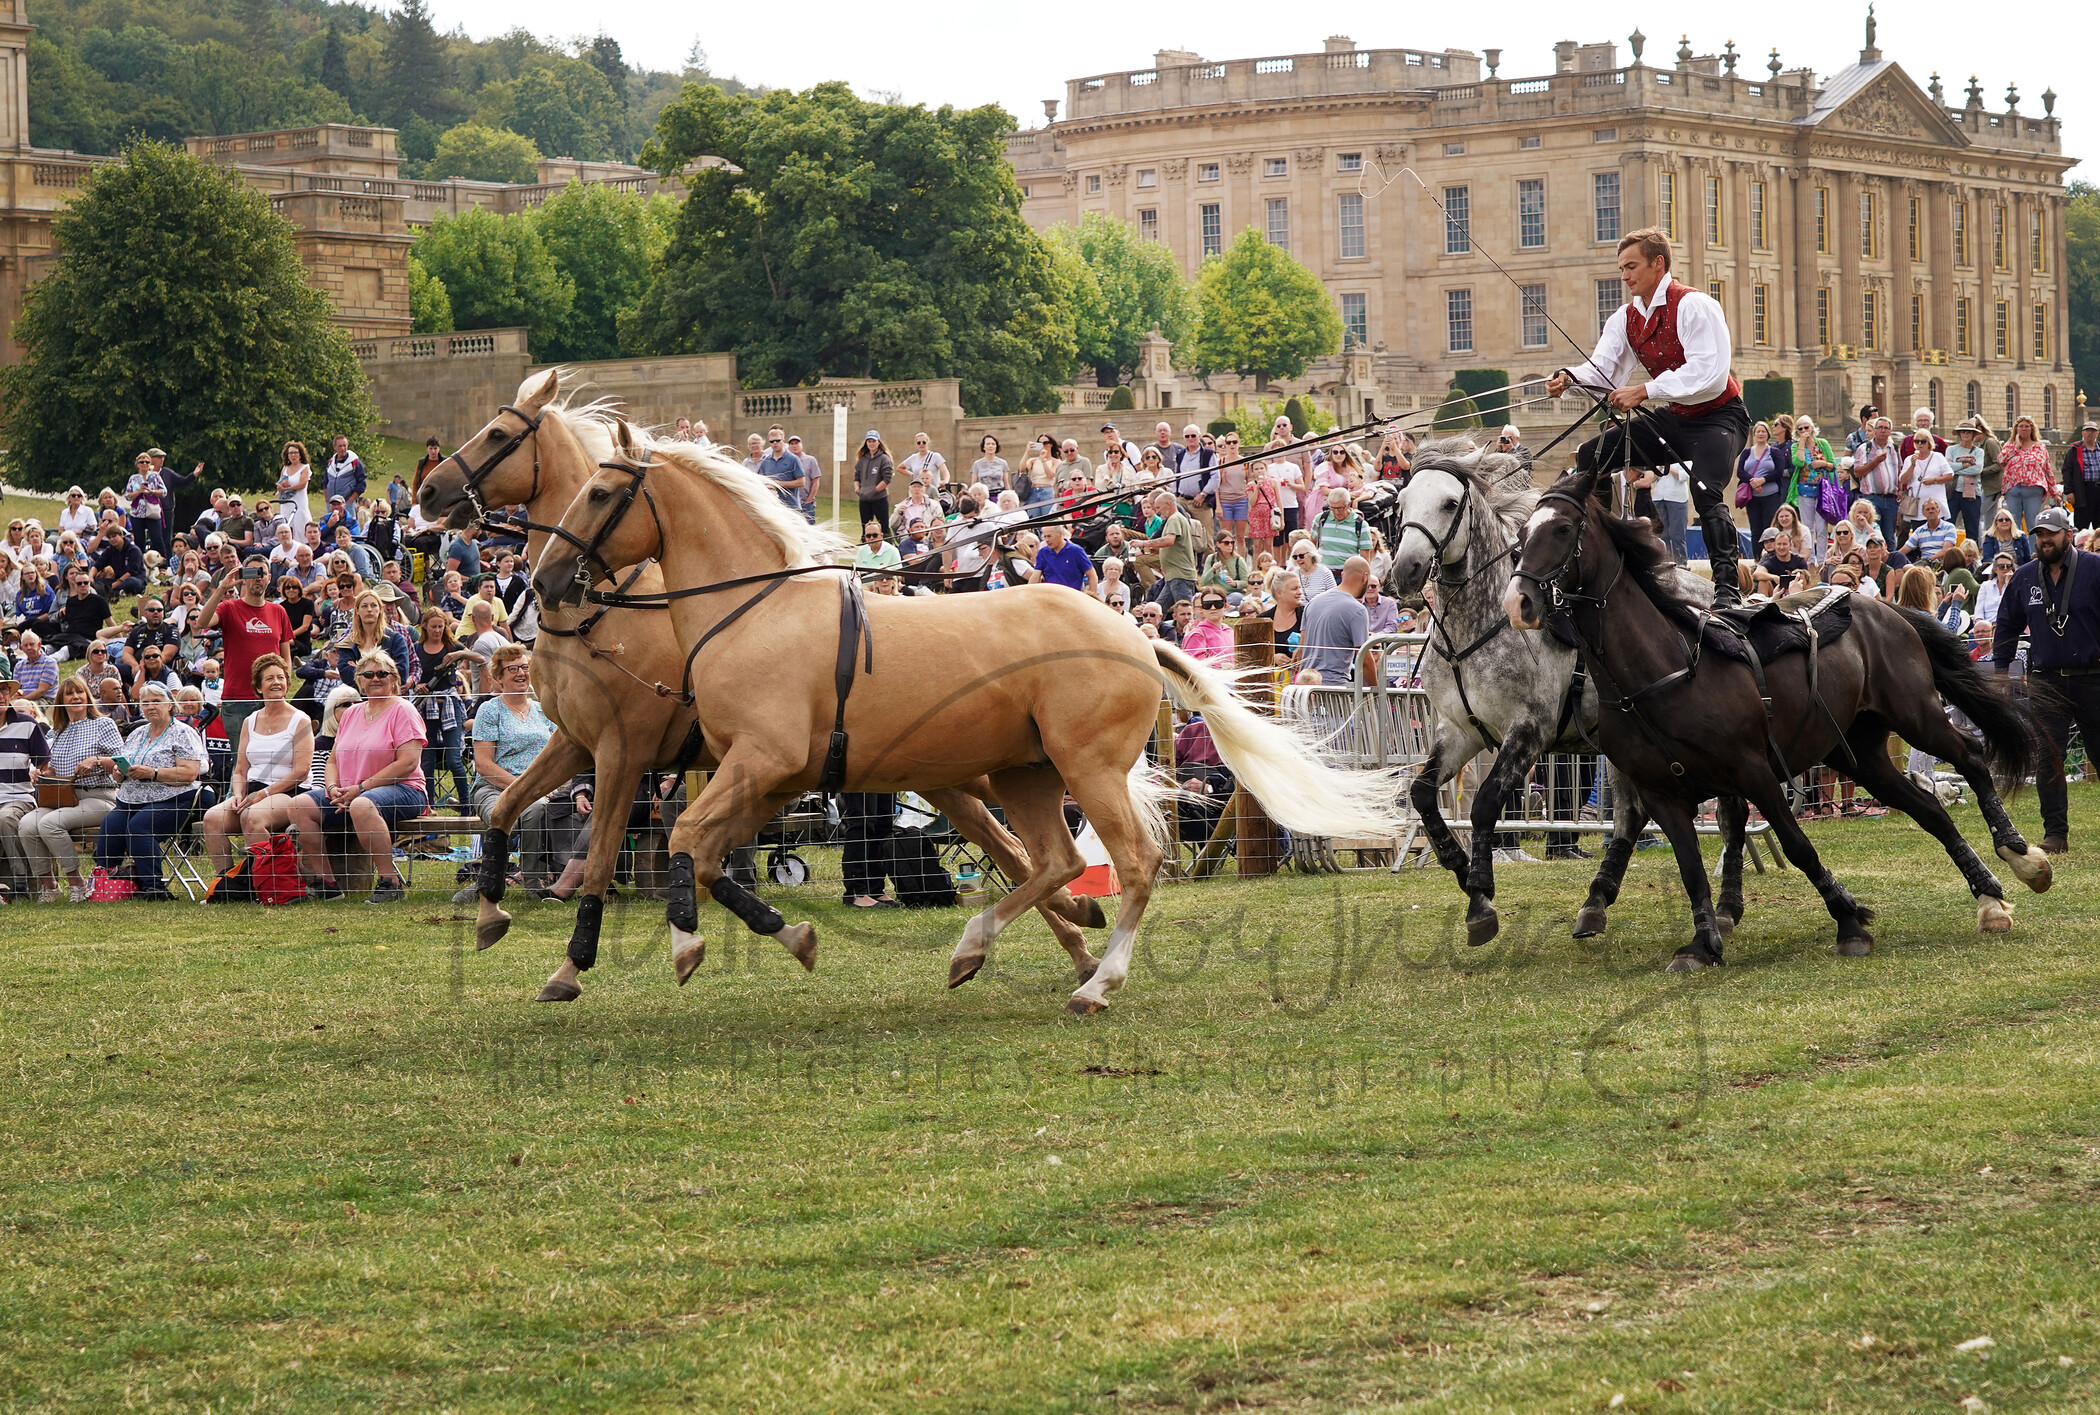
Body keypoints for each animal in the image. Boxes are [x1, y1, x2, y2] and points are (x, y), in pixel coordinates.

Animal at [417, 369, 1125, 999]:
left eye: (497, 433)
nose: (428, 492)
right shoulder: (582, 743)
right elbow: (505, 810)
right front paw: (492, 916)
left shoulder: (627, 752)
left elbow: (603, 859)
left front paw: (576, 964)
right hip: (948, 773)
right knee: (1016, 851)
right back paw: (1077, 941)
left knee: (1023, 852)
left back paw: (1071, 940)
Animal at [529, 426, 1411, 1003]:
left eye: (601, 492)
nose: (546, 579)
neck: (756, 610)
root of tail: (1132, 633)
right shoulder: (771, 778)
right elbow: (707, 854)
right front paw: (793, 935)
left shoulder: (761, 762)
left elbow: (683, 836)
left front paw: (686, 945)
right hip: (1027, 773)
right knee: (1053, 860)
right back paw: (977, 947)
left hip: (1086, 768)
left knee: (1132, 862)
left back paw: (1096, 981)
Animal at [1360, 440, 1738, 948]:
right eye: (1401, 504)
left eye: (1450, 504)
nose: (1406, 571)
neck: (1478, 628)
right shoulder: (1460, 732)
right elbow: (1421, 795)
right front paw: (1458, 866)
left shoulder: (1529, 732)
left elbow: (1484, 805)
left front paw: (1480, 897)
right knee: (1630, 813)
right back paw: (1596, 902)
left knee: (1726, 808)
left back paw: (1726, 906)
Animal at [1503, 461, 2058, 969]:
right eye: (1520, 537)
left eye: (1562, 529)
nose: (1519, 601)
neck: (1661, 671)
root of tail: (1885, 608)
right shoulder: (1663, 793)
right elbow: (1690, 867)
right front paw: (1702, 945)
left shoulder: (1754, 773)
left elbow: (1797, 845)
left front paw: (1849, 921)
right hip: (1858, 753)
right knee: (1931, 810)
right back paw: (1989, 898)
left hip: (1916, 714)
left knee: (1972, 758)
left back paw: (2020, 855)